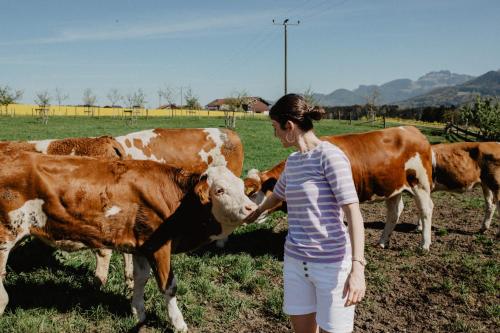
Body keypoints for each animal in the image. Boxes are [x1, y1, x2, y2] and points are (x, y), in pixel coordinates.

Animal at [0, 151, 258, 332]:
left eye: (242, 188)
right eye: (220, 190)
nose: (251, 208)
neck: (178, 200)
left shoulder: (141, 246)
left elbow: (140, 278)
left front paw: (138, 312)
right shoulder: (159, 246)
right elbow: (169, 285)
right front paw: (178, 323)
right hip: (5, 237)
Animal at [242, 126, 434, 248]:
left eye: (252, 193)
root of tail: (415, 131)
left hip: (420, 183)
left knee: (426, 209)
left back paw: (424, 245)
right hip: (393, 188)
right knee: (395, 212)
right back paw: (382, 242)